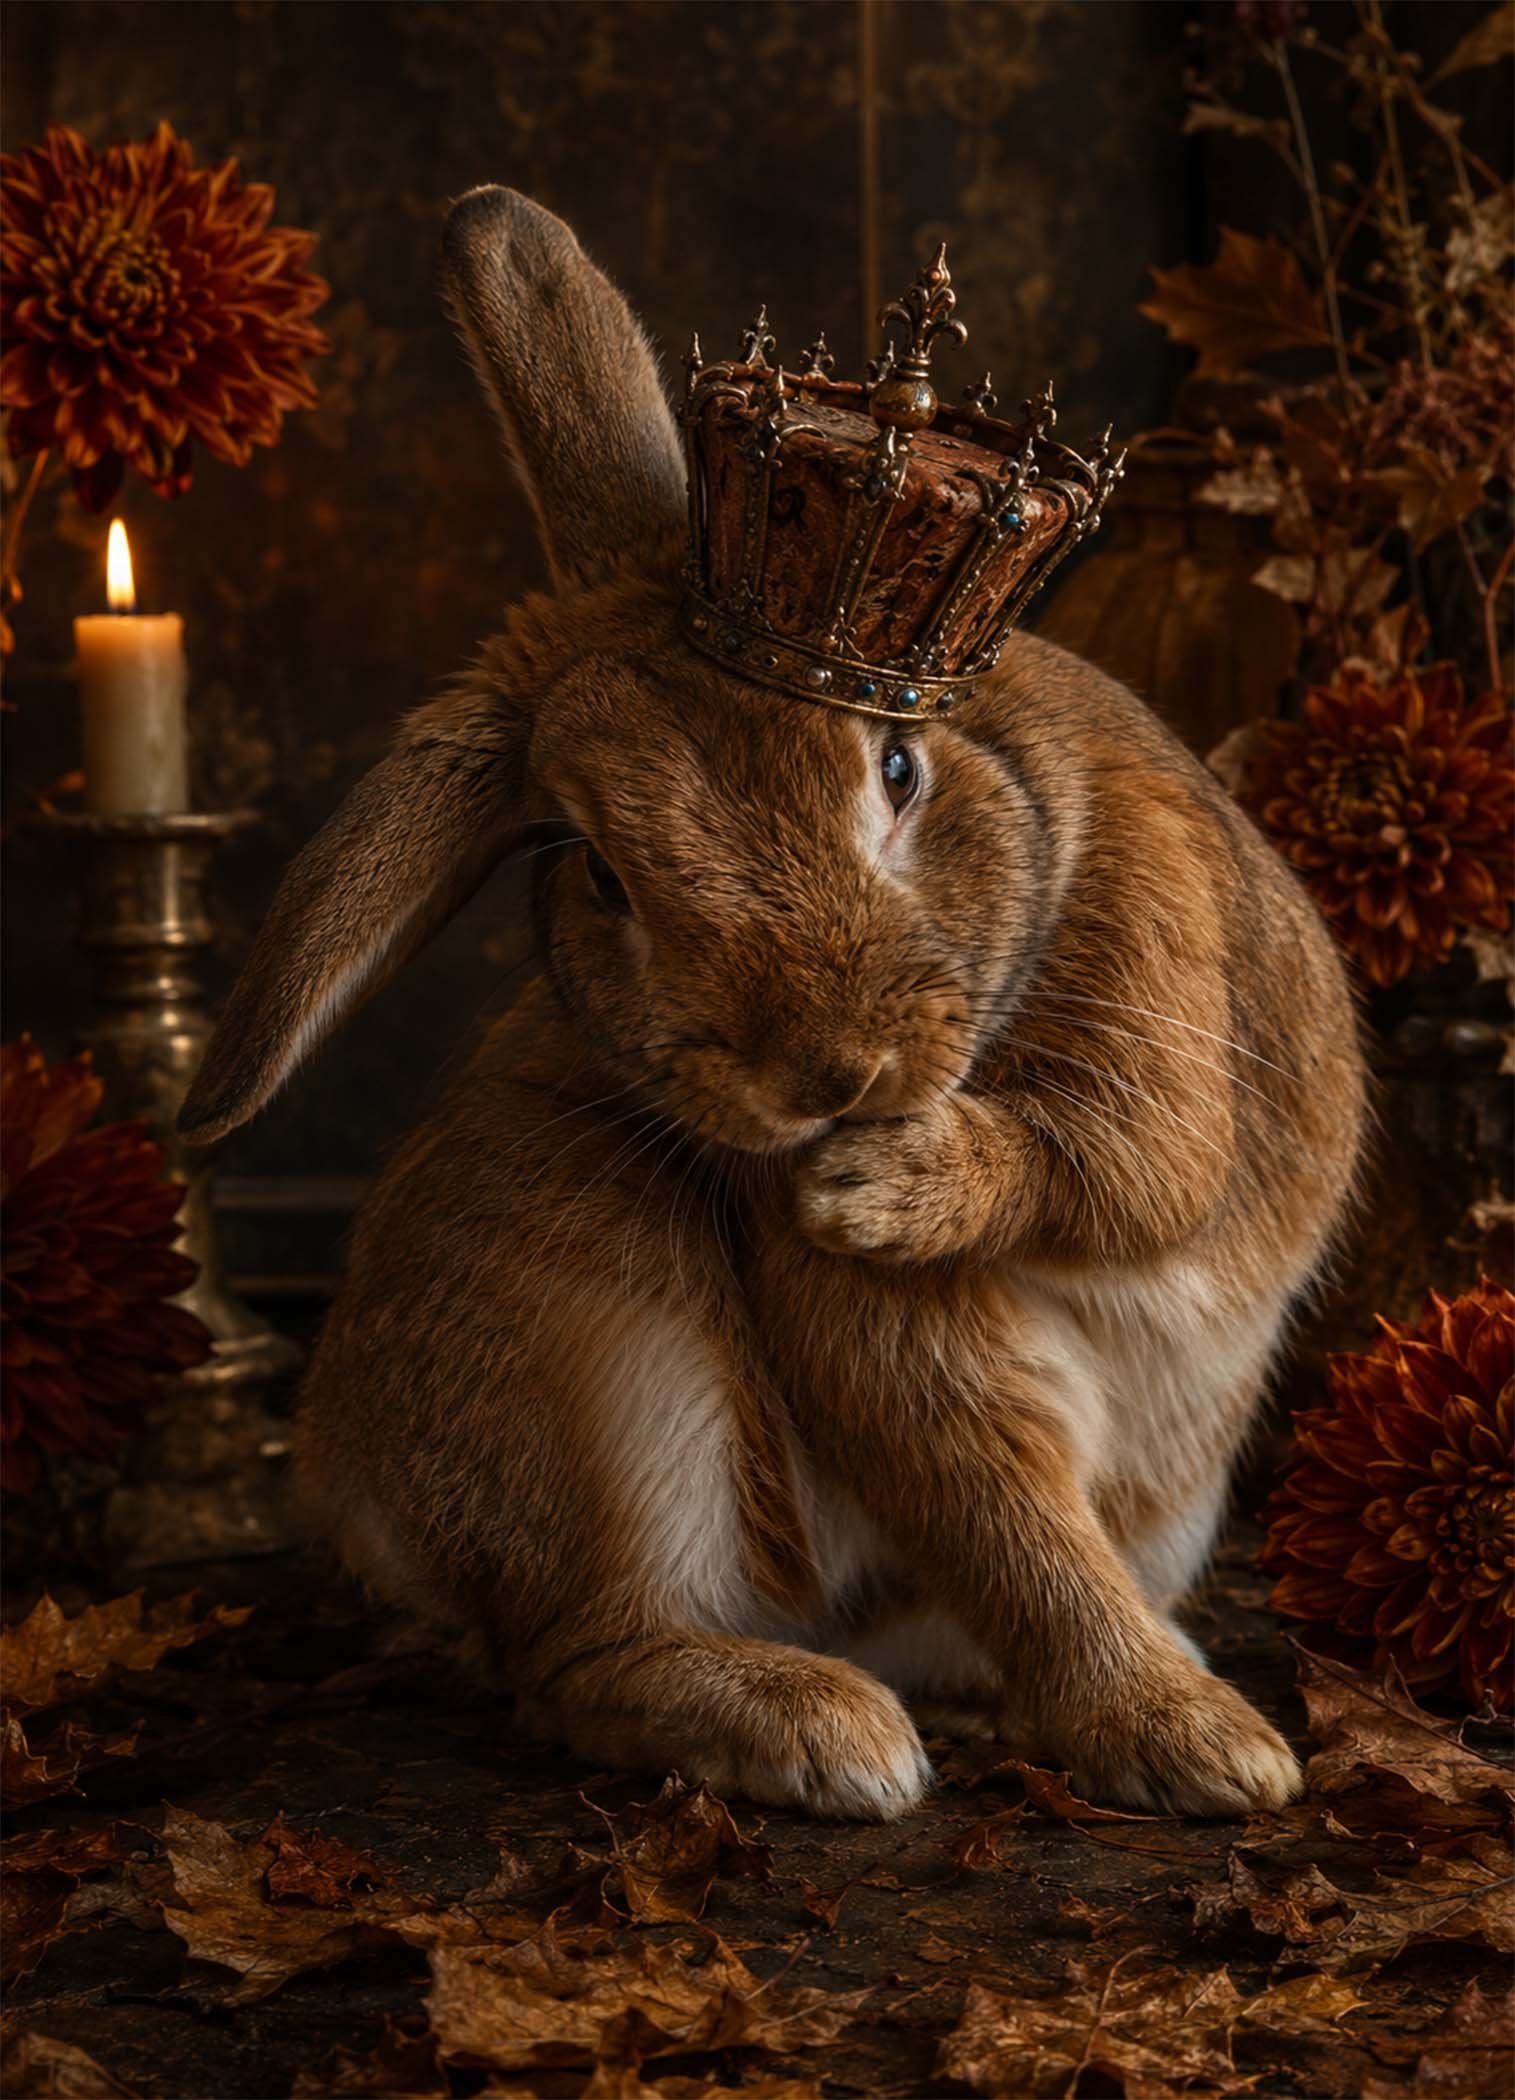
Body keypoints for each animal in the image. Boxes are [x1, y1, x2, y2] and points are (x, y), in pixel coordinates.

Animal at [179, 187, 1367, 1821]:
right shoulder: (898, 1354)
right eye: (598, 874)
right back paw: (826, 1732)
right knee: (577, 1663)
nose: (825, 1075)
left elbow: (1142, 1167)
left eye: (895, 769)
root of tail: (344, 1490)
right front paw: (1204, 1749)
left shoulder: (1160, 988)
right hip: (591, 1355)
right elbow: (1008, 1516)